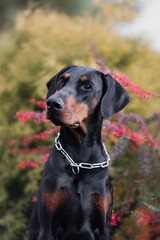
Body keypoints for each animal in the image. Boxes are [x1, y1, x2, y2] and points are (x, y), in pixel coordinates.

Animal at [28, 64, 129, 240]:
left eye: (87, 86)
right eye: (62, 80)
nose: (52, 103)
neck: (79, 159)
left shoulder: (103, 227)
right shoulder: (48, 226)